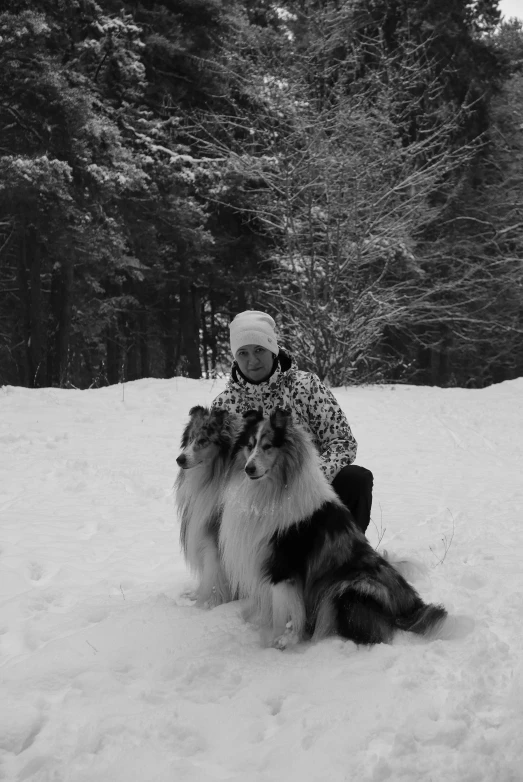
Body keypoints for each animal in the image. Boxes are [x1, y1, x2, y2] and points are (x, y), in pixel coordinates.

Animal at [176, 408, 242, 608]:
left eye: (203, 440)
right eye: (190, 438)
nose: (179, 459)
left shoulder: (216, 540)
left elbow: (213, 574)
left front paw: (208, 605)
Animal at [219, 410, 448, 648]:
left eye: (268, 446)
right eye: (250, 445)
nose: (249, 468)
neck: (270, 492)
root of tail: (412, 606)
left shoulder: (284, 565)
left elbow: (286, 610)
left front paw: (282, 640)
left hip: (345, 590)